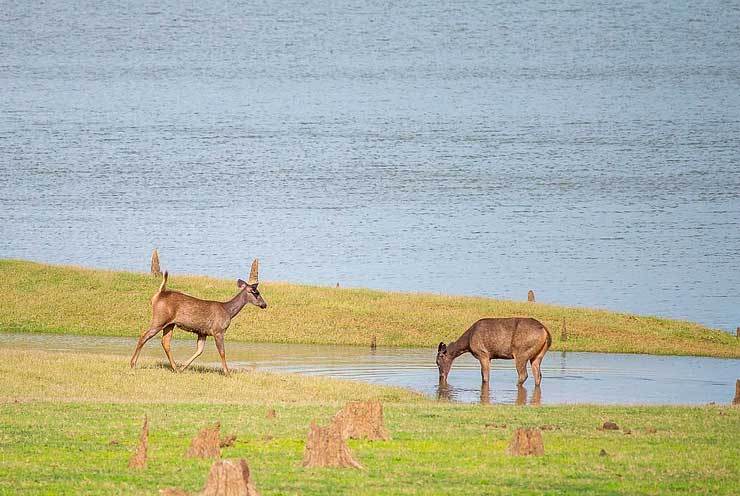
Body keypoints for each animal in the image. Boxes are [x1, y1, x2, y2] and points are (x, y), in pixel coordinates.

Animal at [129, 260, 268, 376]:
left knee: (165, 342)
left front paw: (183, 367)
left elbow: (199, 351)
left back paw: (175, 368)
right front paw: (227, 373)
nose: (264, 304)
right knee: (144, 335)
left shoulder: (203, 332)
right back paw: (133, 363)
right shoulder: (218, 330)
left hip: (170, 324)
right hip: (159, 319)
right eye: (257, 293)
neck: (228, 311)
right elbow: (222, 352)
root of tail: (157, 294)